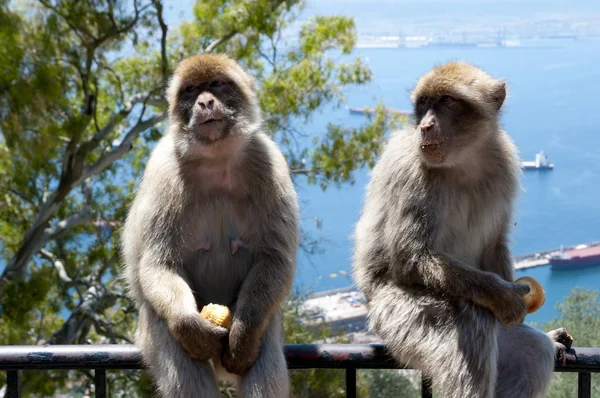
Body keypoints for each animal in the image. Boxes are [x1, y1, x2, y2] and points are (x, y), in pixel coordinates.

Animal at [120, 53, 298, 398]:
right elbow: (158, 264)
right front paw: (191, 329)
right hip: (151, 332)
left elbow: (274, 258)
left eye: (216, 84)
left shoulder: (268, 162)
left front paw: (243, 335)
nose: (204, 102)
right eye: (190, 90)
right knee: (174, 348)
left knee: (265, 349)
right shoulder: (163, 172)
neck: (216, 160)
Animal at [354, 60, 576, 396]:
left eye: (446, 101)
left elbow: (494, 243)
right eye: (423, 104)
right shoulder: (411, 173)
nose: (425, 126)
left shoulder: (505, 167)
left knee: (532, 352)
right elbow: (411, 258)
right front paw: (504, 297)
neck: (463, 161)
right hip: (396, 315)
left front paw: (523, 316)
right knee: (471, 321)